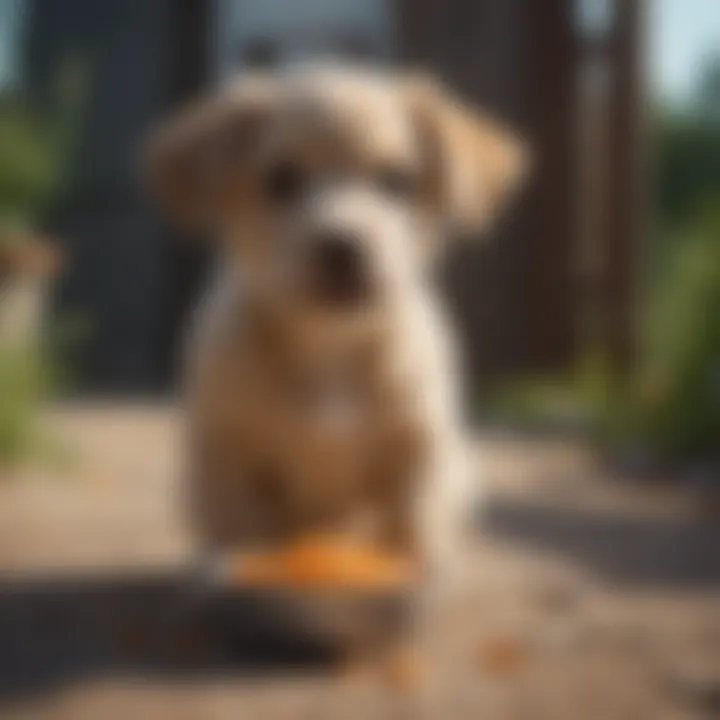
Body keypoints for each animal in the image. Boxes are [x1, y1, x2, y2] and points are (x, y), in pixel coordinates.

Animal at [148, 66, 528, 636]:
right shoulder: (228, 456)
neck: (330, 346)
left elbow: (409, 528)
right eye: (281, 179)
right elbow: (242, 532)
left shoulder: (418, 450)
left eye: (396, 180)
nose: (341, 246)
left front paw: (415, 580)